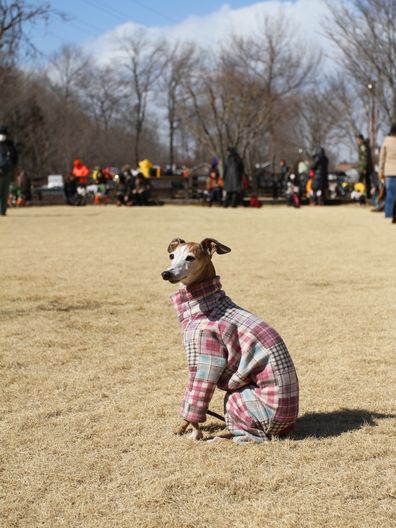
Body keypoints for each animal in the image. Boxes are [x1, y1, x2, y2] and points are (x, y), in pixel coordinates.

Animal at [162, 238, 298, 442]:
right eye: (172, 255)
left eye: (190, 258)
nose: (166, 273)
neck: (203, 305)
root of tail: (285, 428)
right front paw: (181, 428)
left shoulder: (206, 360)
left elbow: (195, 397)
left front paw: (195, 433)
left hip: (238, 398)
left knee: (255, 437)